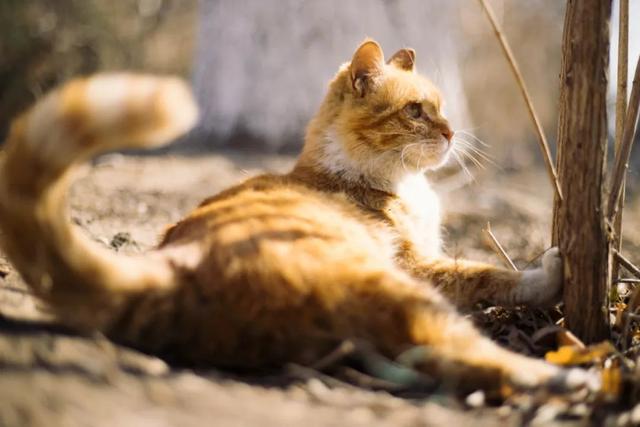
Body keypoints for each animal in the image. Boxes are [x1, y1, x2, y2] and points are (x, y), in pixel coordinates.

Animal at [0, 40, 592, 394]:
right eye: (415, 111)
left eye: (442, 108)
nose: (450, 132)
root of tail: (176, 266)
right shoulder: (422, 266)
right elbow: (488, 273)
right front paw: (547, 271)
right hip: (395, 290)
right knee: (465, 354)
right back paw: (564, 378)